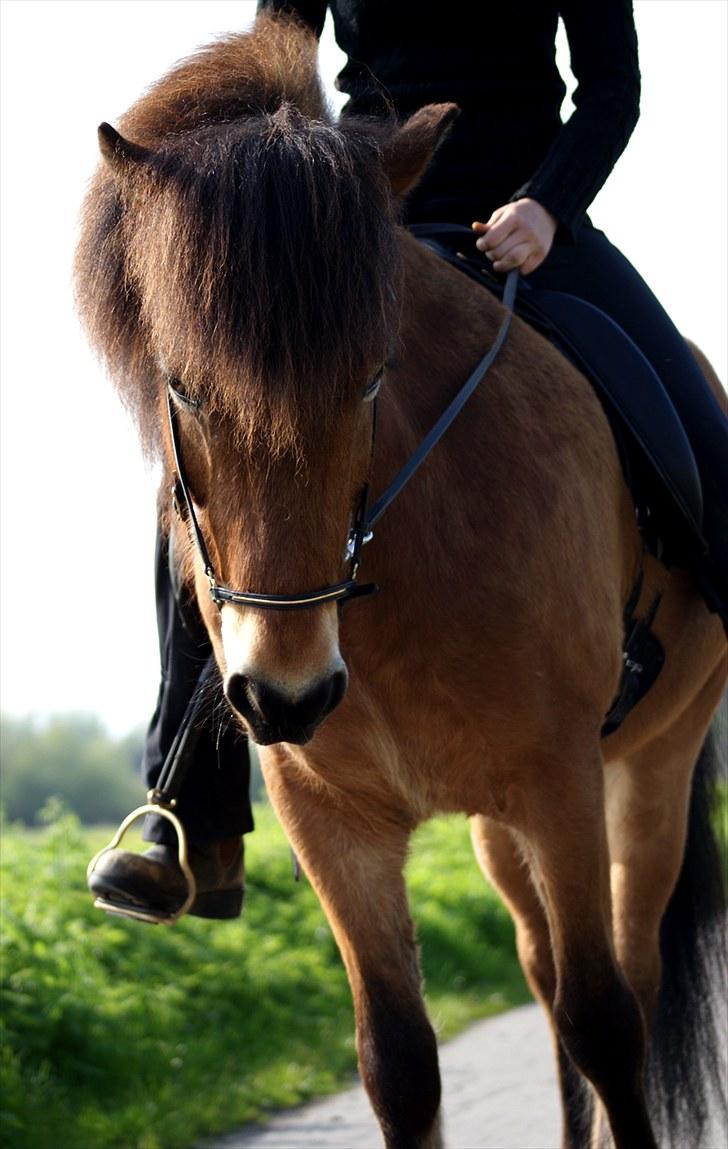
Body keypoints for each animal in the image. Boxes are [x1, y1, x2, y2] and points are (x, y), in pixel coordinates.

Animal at [76, 11, 721, 1149]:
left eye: (369, 376)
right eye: (183, 392)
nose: (286, 693)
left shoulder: (558, 781)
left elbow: (608, 1024)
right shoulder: (332, 818)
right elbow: (400, 1060)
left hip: (649, 767)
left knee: (625, 985)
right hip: (497, 827)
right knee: (544, 977)